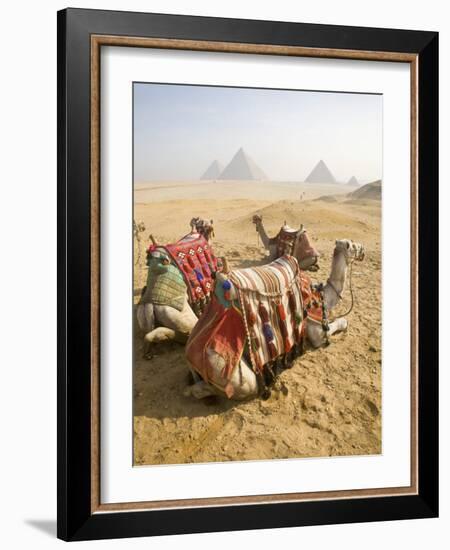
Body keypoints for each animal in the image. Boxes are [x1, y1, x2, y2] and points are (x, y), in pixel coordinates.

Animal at [185, 240, 364, 402]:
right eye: (353, 245)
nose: (363, 250)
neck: (321, 297)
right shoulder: (314, 331)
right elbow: (338, 324)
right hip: (228, 372)